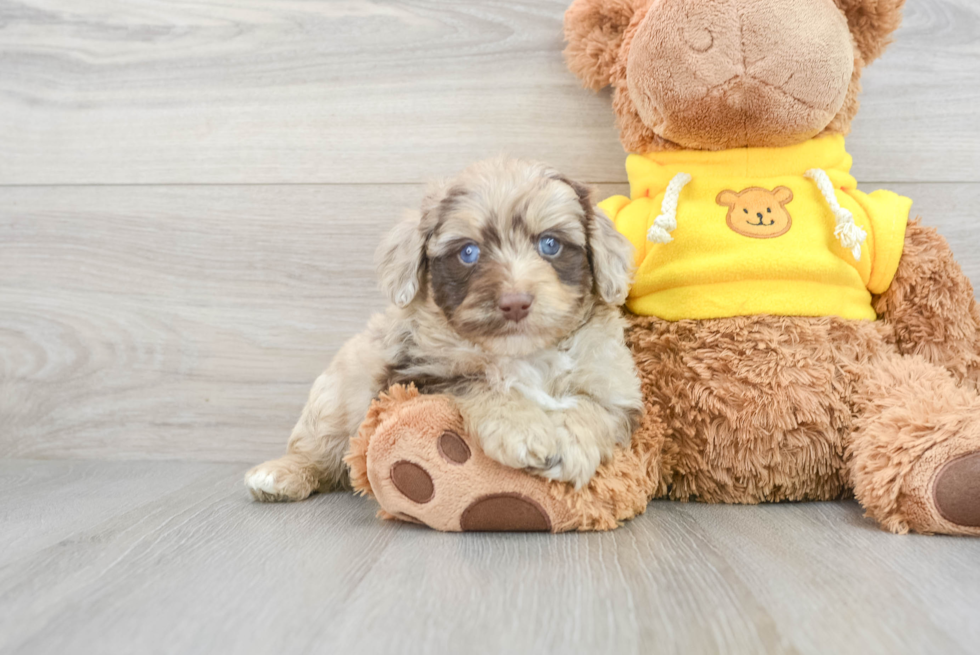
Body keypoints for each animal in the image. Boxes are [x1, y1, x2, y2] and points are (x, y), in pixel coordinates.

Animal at [245, 159, 644, 502]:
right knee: (319, 449)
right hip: (334, 396)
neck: (522, 352)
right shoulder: (419, 374)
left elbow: (591, 407)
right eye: (468, 252)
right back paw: (280, 475)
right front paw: (523, 430)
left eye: (550, 244)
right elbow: (480, 382)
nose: (515, 303)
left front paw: (568, 444)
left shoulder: (614, 385)